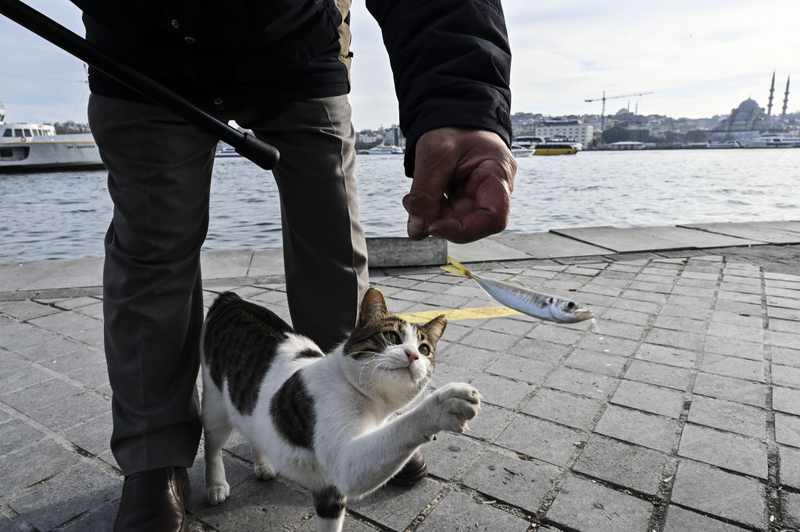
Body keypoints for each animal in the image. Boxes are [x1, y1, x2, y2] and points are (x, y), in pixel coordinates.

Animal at [200, 288, 482, 528]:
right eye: (392, 336)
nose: (413, 355)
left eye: (425, 349)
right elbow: (401, 427)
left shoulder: (331, 493)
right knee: (212, 445)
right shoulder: (343, 463)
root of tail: (231, 299)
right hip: (214, 405)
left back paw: (263, 465)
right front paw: (446, 402)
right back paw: (215, 486)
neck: (369, 402)